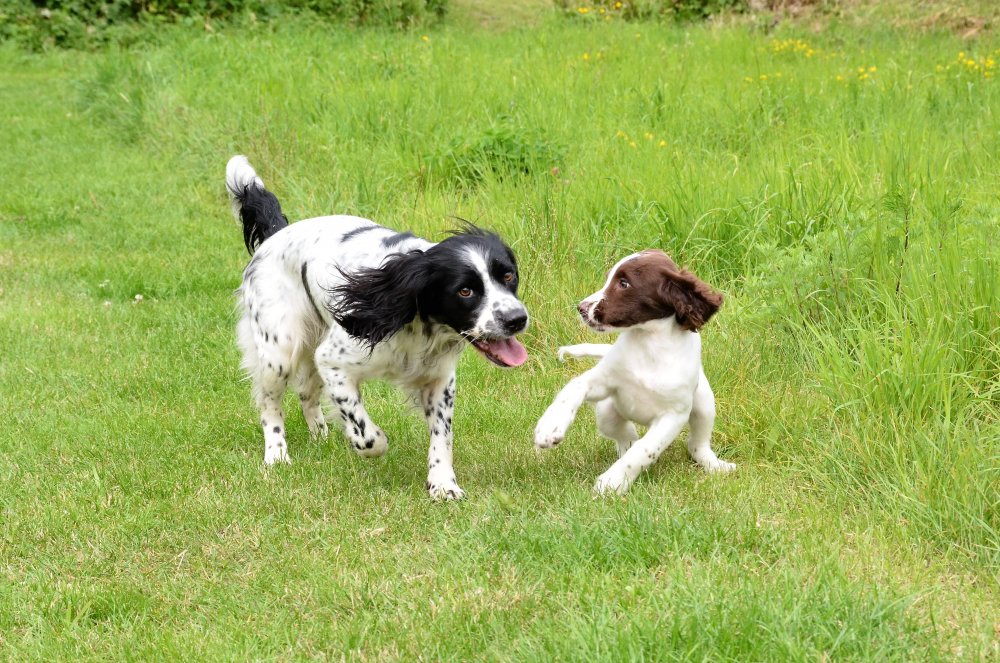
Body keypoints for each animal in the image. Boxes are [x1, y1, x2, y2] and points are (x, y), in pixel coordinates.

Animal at [224, 156, 528, 498]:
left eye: (508, 276)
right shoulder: (333, 360)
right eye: (465, 291)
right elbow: (367, 433)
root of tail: (277, 234)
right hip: (279, 351)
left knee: (306, 393)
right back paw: (276, 454)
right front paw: (367, 443)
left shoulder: (439, 380)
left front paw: (443, 484)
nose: (517, 319)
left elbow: (442, 436)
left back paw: (320, 435)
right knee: (270, 404)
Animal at [532, 249, 736, 492]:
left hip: (704, 404)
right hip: (607, 413)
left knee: (697, 444)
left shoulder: (673, 416)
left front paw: (612, 482)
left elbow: (644, 451)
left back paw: (715, 464)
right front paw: (549, 426)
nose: (581, 308)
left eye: (624, 283)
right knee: (626, 438)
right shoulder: (603, 381)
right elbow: (573, 387)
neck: (649, 343)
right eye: (609, 279)